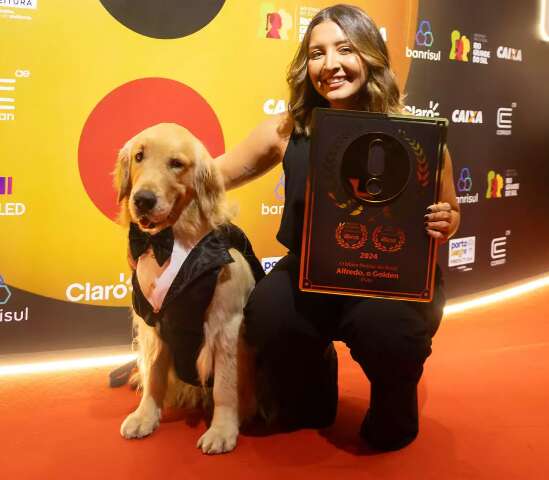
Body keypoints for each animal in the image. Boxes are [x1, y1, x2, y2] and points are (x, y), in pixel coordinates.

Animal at [112, 124, 262, 454]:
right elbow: (154, 375)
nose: (143, 199)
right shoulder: (153, 321)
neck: (167, 243)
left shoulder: (227, 324)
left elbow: (225, 387)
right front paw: (145, 416)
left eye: (176, 164)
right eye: (139, 156)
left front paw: (222, 430)